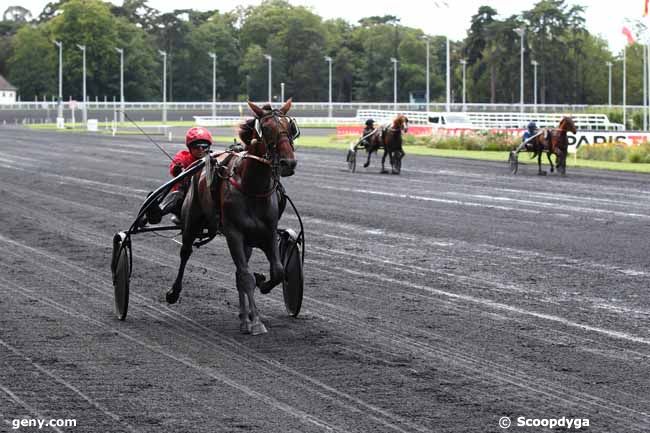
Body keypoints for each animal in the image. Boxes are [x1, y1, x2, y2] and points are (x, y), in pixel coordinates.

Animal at [167, 98, 298, 334]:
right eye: (266, 129)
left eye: (290, 127)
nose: (288, 163)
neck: (251, 187)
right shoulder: (233, 233)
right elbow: (246, 277)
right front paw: (256, 321)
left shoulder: (268, 231)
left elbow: (277, 271)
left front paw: (262, 282)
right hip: (192, 221)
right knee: (185, 252)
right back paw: (174, 292)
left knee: (240, 271)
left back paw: (243, 316)